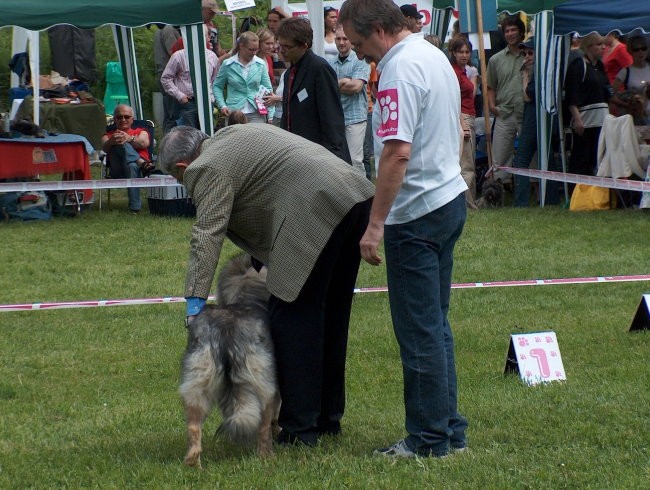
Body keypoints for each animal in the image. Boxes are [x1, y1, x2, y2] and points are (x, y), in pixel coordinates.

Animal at [177, 253, 278, 468]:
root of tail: (226, 329)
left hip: (197, 378)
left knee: (194, 427)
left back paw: (193, 463)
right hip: (263, 382)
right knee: (263, 425)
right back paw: (267, 456)